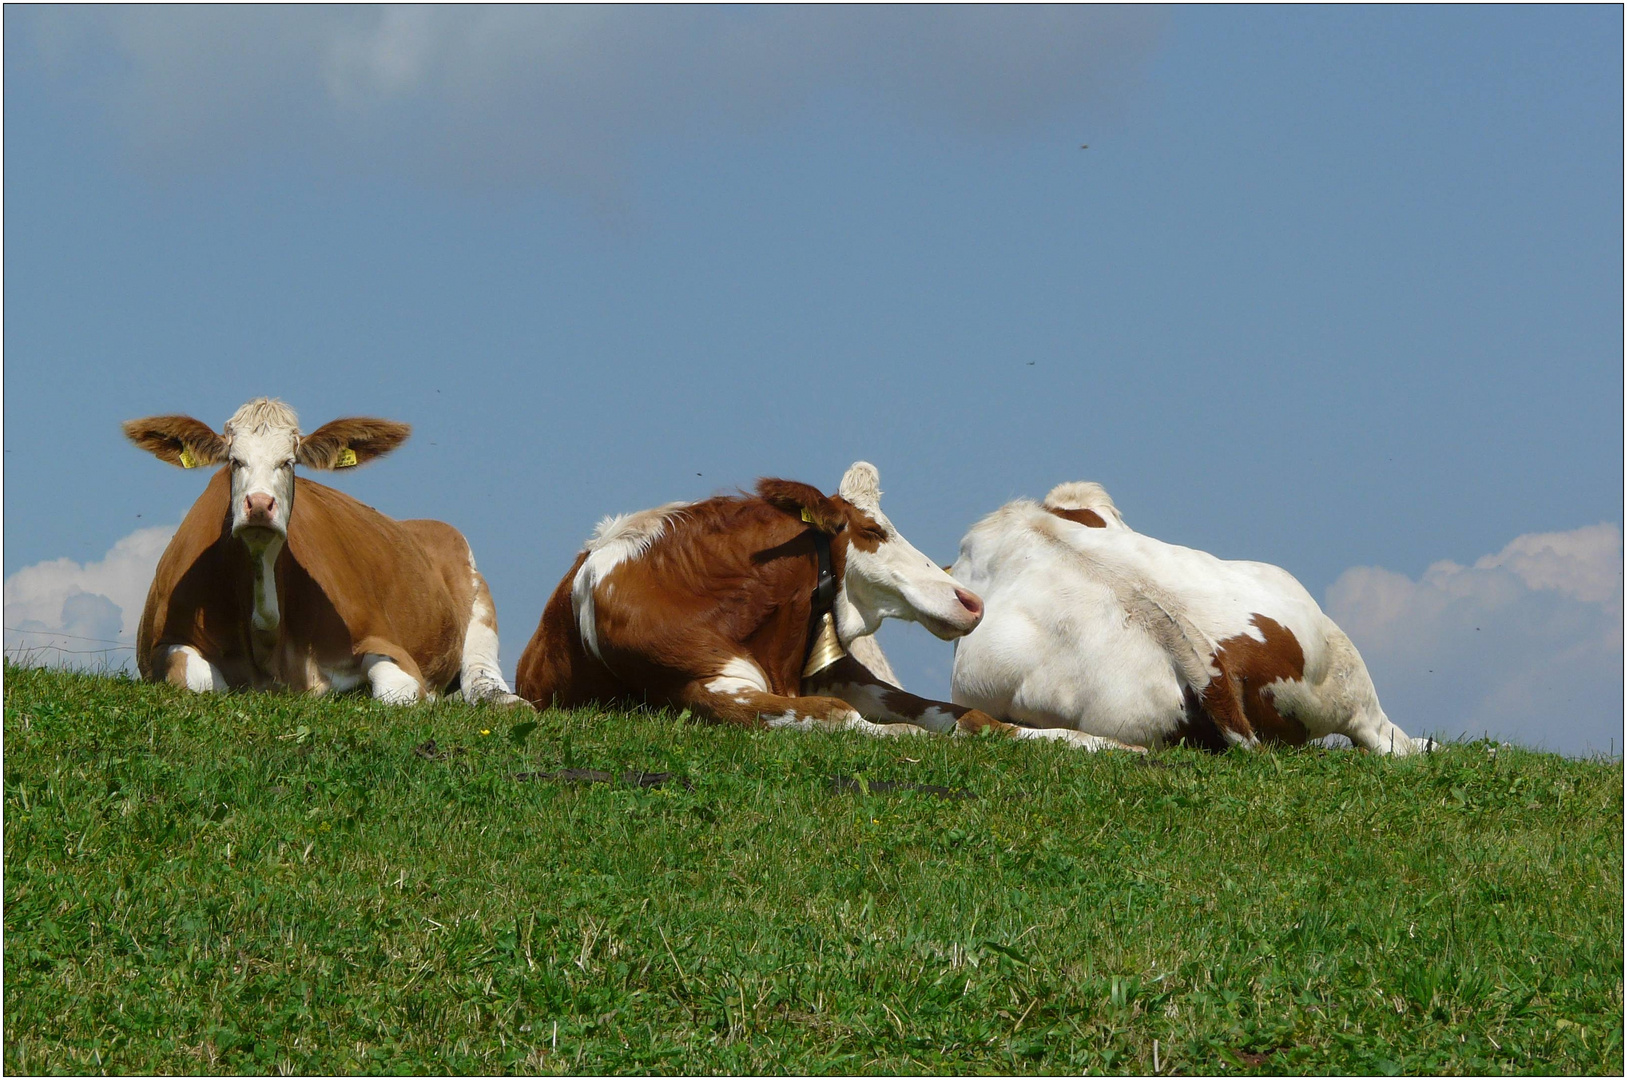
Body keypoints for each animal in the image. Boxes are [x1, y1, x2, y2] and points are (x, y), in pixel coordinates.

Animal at [125, 398, 527, 709]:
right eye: (235, 460)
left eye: (289, 461)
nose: (259, 505)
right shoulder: (165, 645)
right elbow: (202, 681)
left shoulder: (382, 640)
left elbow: (400, 692)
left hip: (474, 587)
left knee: (481, 675)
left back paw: (500, 699)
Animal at [517, 458, 1132, 748]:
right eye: (873, 530)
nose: (968, 600)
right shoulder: (705, 692)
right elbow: (841, 718)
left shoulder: (843, 673)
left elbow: (973, 719)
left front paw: (1098, 744)